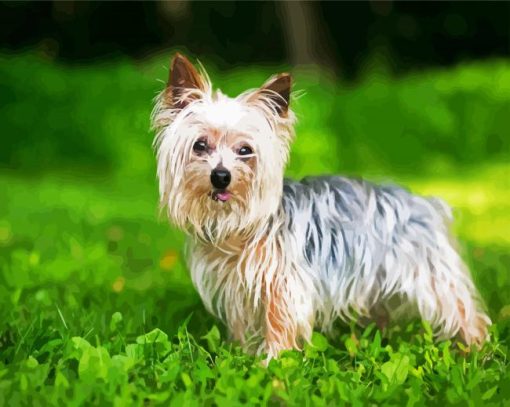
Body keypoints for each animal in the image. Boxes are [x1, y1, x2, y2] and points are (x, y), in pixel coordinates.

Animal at [151, 52, 490, 358]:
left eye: (245, 150)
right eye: (200, 145)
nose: (221, 176)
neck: (239, 228)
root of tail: (422, 201)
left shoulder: (283, 286)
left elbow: (279, 325)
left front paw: (272, 364)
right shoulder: (237, 288)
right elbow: (242, 325)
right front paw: (242, 357)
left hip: (431, 274)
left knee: (463, 310)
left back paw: (476, 349)